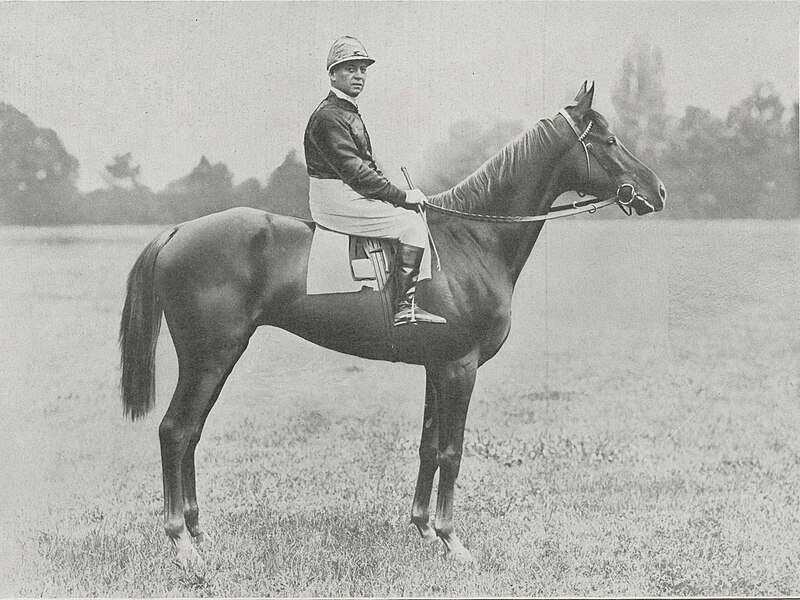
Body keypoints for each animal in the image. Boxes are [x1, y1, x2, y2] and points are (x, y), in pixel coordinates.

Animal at [119, 83, 664, 568]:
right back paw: (181, 542)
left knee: (191, 433)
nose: (657, 191)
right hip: (209, 357)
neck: (472, 239)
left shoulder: (436, 367)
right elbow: (451, 451)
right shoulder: (460, 367)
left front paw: (424, 529)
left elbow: (428, 446)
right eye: (608, 140)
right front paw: (452, 540)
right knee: (175, 431)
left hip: (217, 359)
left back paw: (197, 532)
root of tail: (178, 232)